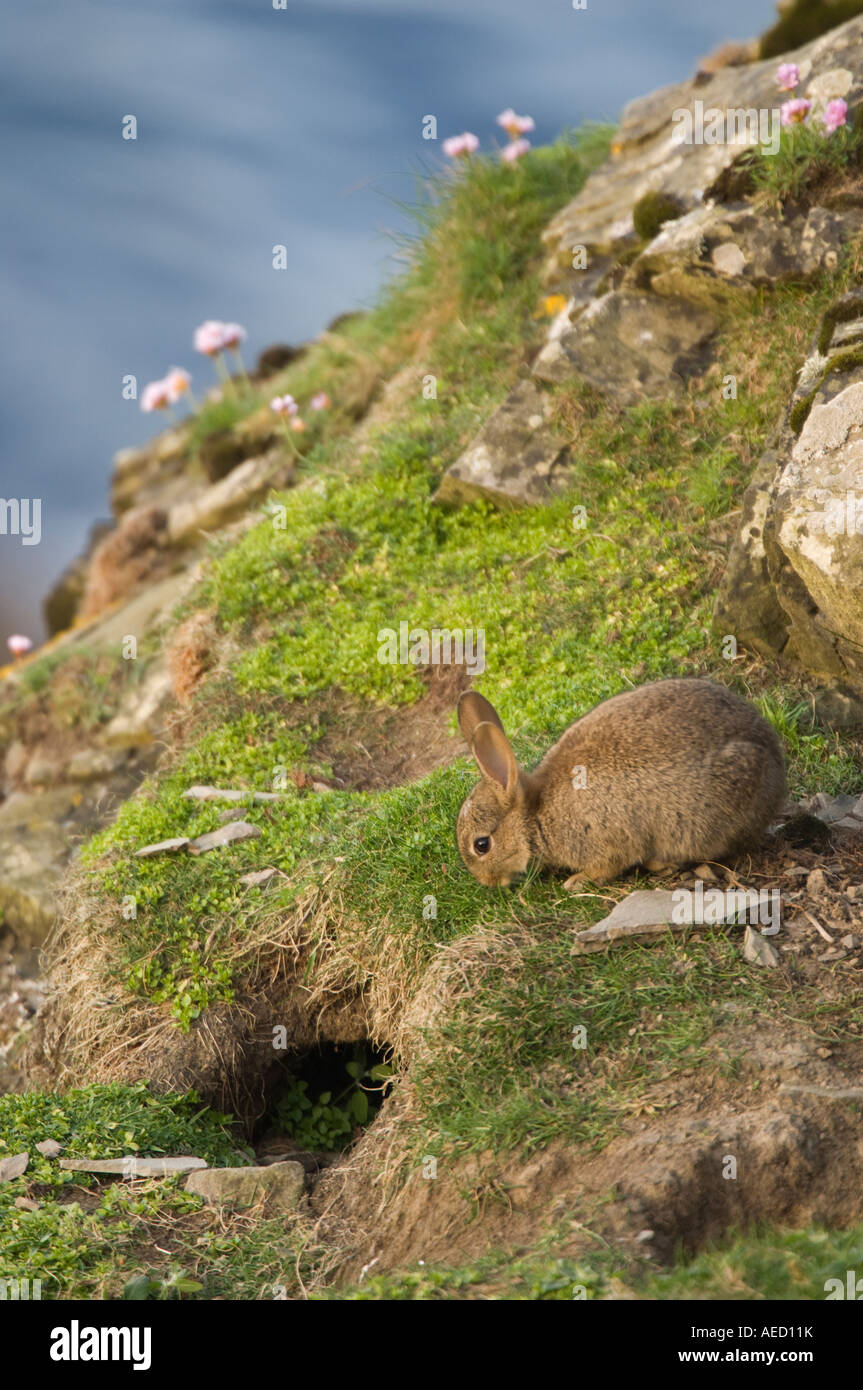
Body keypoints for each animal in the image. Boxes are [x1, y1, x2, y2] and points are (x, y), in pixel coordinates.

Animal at [455, 678, 786, 889]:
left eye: (482, 845)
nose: (487, 882)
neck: (535, 816)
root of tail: (775, 763)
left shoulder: (604, 840)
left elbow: (607, 866)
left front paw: (576, 882)